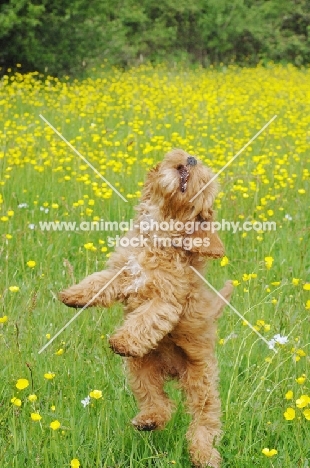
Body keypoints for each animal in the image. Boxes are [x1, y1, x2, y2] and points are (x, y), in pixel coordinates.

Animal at [60, 150, 232, 468]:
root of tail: (172, 372)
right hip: (140, 370)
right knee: (158, 402)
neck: (159, 230)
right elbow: (97, 282)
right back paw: (148, 420)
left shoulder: (166, 299)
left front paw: (125, 338)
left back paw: (204, 455)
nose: (191, 158)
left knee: (203, 422)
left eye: (203, 179)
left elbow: (147, 318)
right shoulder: (120, 272)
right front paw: (73, 295)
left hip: (200, 383)